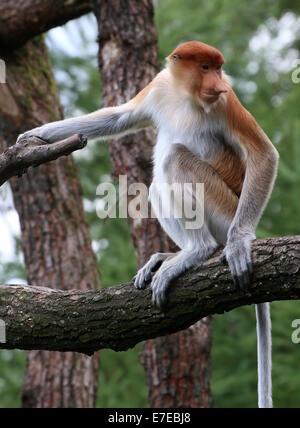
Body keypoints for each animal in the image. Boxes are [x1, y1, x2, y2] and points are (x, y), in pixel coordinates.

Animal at [17, 40, 278, 408]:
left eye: (218, 69)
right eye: (206, 67)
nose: (218, 82)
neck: (186, 96)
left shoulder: (226, 101)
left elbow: (263, 153)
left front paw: (240, 242)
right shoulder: (159, 86)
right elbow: (118, 116)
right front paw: (33, 135)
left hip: (227, 210)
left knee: (174, 160)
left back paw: (198, 251)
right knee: (156, 183)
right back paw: (170, 256)